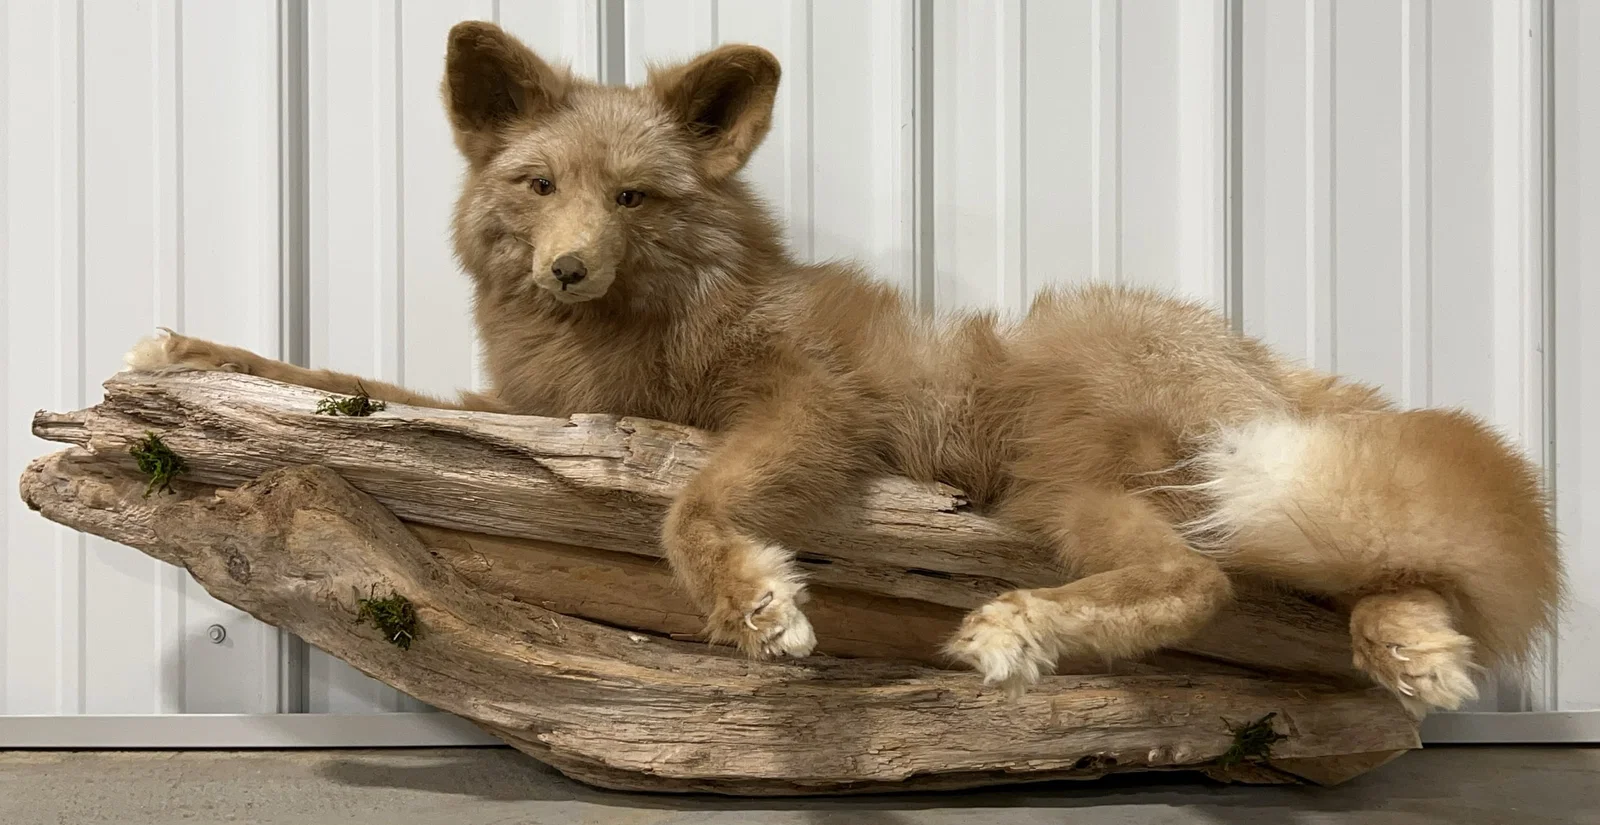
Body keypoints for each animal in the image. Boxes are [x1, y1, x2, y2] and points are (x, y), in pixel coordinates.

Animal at [123, 21, 1560, 717]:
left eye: (635, 198)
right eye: (537, 188)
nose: (569, 270)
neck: (633, 340)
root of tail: (1260, 356)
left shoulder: (809, 404)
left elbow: (691, 507)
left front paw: (755, 604)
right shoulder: (527, 409)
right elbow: (336, 374)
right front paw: (177, 350)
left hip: (1062, 472)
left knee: (1198, 579)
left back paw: (1026, 629)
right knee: (1373, 573)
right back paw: (1413, 652)